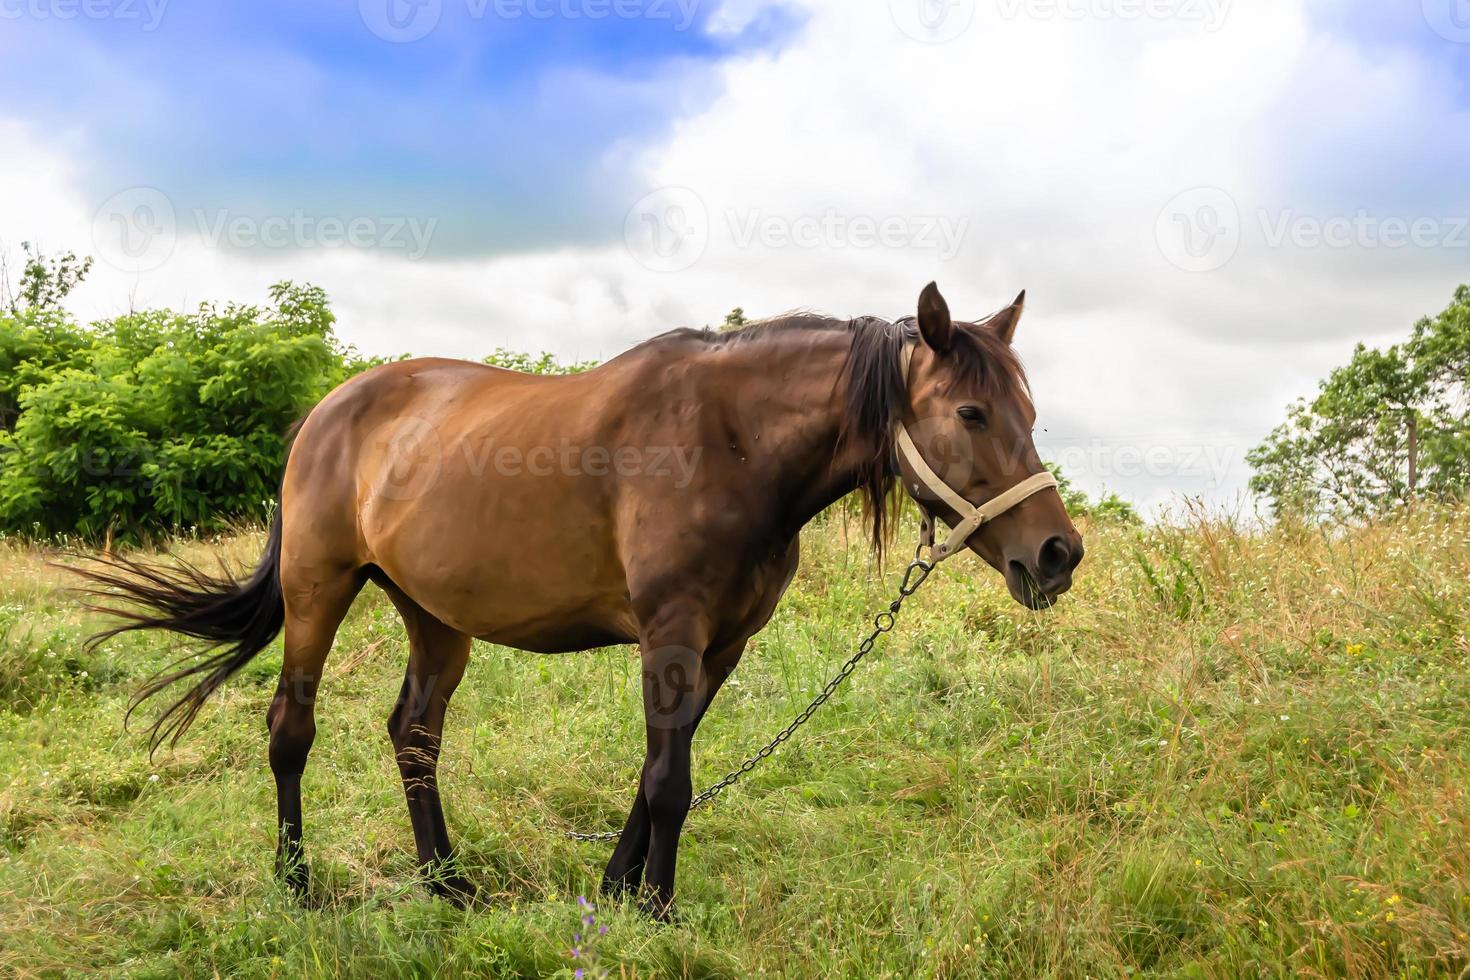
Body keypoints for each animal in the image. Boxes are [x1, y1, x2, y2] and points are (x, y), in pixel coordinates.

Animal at [85, 282, 1087, 922]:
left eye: (1033, 412)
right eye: (970, 414)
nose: (1057, 553)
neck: (730, 442)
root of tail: (330, 409)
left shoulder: (720, 646)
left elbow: (656, 776)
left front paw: (616, 891)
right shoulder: (672, 634)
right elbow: (671, 781)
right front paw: (659, 912)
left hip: (435, 617)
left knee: (414, 735)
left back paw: (446, 881)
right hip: (318, 588)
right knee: (291, 729)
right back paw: (296, 885)